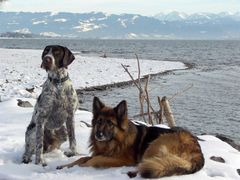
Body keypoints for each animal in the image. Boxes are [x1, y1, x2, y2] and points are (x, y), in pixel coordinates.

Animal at [56, 97, 204, 179]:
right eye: (99, 122)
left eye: (110, 123)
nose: (99, 135)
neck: (115, 141)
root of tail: (197, 148)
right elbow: (82, 158)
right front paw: (65, 166)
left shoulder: (122, 159)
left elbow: (94, 159)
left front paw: (82, 166)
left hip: (155, 144)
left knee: (149, 165)